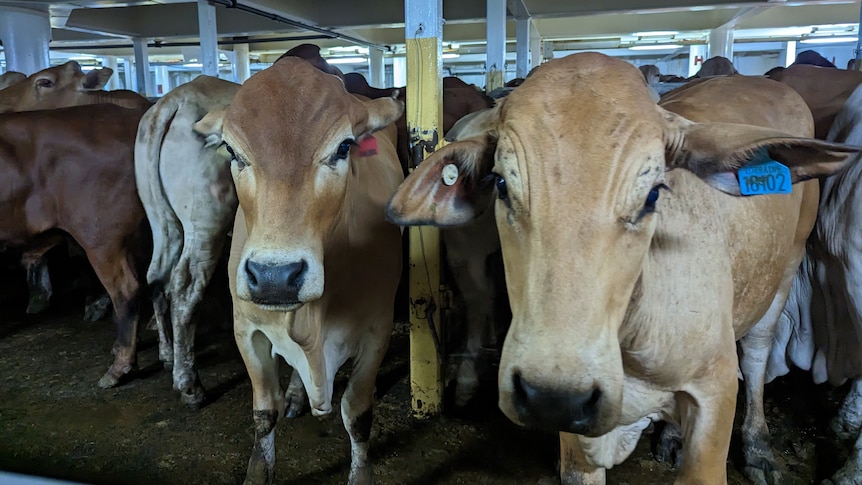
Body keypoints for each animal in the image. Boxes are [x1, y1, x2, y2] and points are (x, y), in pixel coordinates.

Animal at [136, 74, 241, 408]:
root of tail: (176, 99)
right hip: (206, 222)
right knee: (186, 284)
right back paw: (189, 384)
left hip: (162, 220)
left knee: (156, 276)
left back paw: (168, 353)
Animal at [388, 53, 860, 484]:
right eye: (501, 184)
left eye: (653, 194)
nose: (550, 396)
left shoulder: (716, 393)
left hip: (786, 270)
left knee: (759, 352)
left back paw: (759, 446)